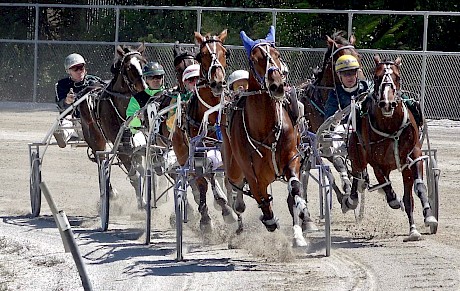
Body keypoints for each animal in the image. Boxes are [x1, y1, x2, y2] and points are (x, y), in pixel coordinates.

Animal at [172, 29, 237, 234]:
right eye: (202, 55)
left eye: (226, 53)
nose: (217, 83)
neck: (211, 114)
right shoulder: (198, 154)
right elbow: (202, 183)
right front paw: (208, 218)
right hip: (184, 155)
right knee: (200, 179)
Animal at [222, 26, 312, 248]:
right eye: (255, 59)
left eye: (277, 55)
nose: (277, 85)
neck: (264, 127)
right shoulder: (253, 174)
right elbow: (262, 200)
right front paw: (270, 220)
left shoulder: (292, 158)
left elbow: (295, 189)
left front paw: (301, 221)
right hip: (233, 165)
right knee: (235, 188)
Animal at [348, 54, 438, 242]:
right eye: (376, 77)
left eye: (397, 77)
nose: (387, 103)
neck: (390, 127)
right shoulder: (376, 162)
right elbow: (386, 185)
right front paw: (393, 199)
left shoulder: (414, 155)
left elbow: (419, 187)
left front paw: (428, 217)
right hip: (356, 151)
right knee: (357, 173)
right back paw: (352, 198)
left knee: (408, 197)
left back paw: (413, 228)